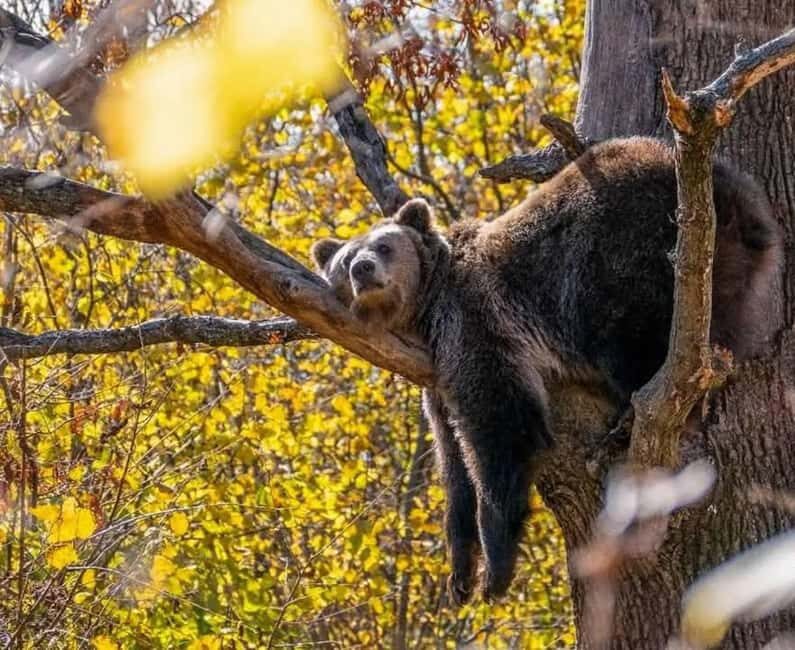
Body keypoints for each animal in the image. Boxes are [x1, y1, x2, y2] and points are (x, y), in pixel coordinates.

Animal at [310, 137, 783, 605]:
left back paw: (636, 418)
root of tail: (732, 193)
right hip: (730, 273)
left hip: (627, 256)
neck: (426, 316)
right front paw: (459, 572)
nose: (363, 269)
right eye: (345, 259)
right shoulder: (436, 376)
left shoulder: (478, 326)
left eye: (384, 246)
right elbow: (454, 463)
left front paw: (496, 569)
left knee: (639, 341)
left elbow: (502, 431)